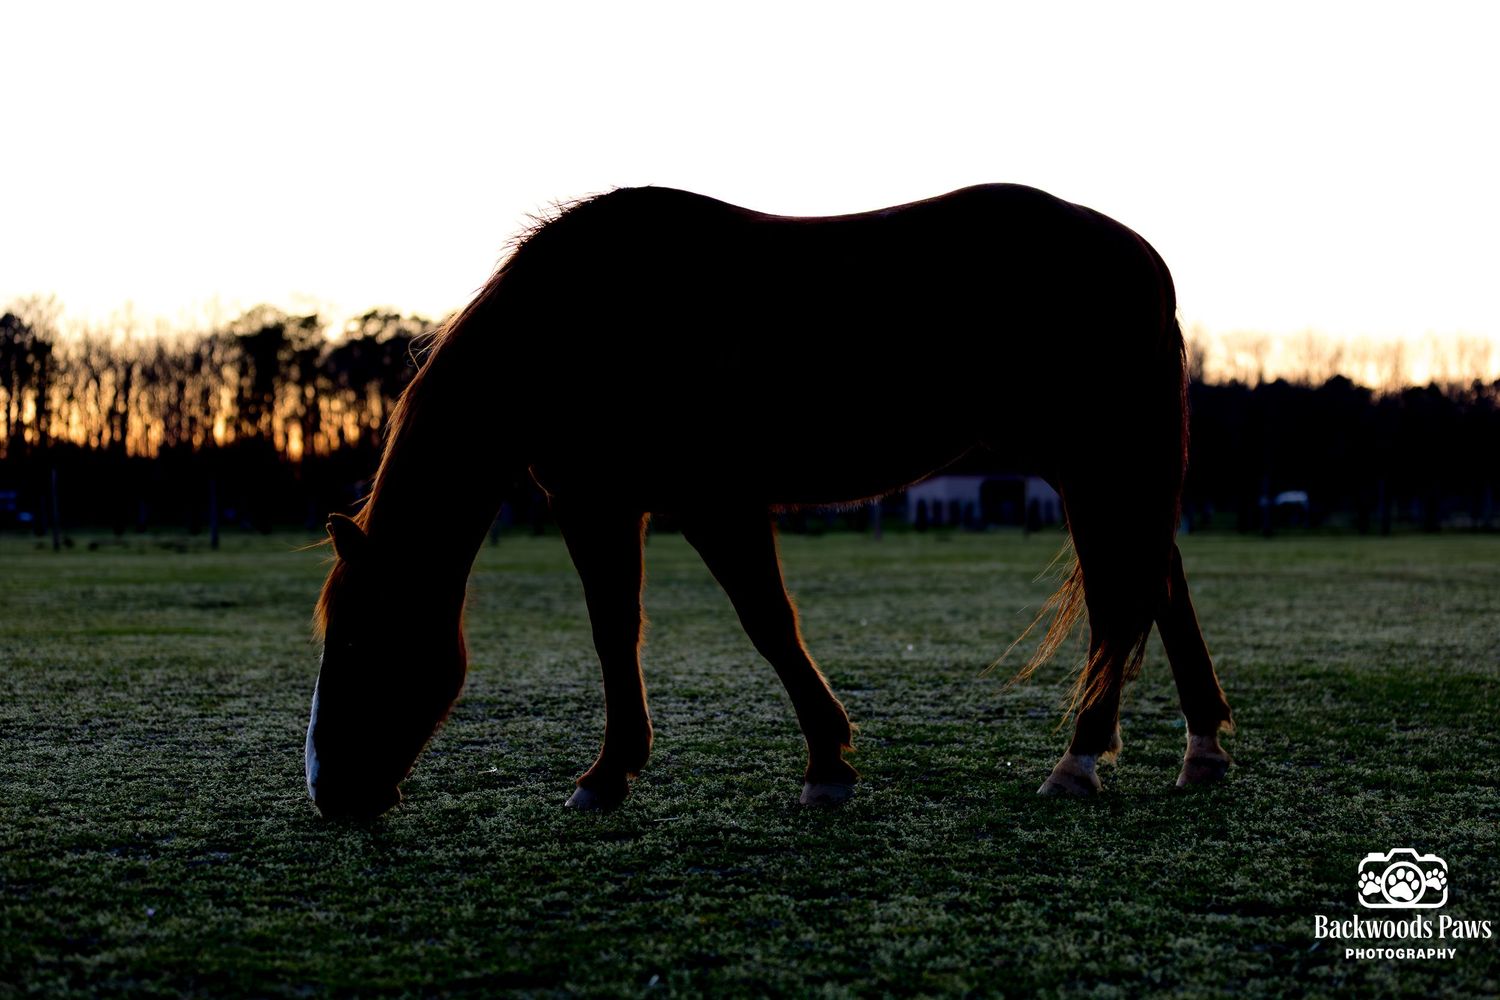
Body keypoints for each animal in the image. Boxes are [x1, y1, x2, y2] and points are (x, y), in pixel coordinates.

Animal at [304, 183, 1234, 820]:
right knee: (1158, 583)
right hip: (1102, 466)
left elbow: (764, 623)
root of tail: (1141, 256)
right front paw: (614, 772)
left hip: (1095, 459)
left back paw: (1080, 762)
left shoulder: (707, 502)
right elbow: (617, 631)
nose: (328, 791)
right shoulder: (606, 504)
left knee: (1130, 592)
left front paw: (825, 764)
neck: (580, 324)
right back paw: (1200, 750)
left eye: (357, 640)